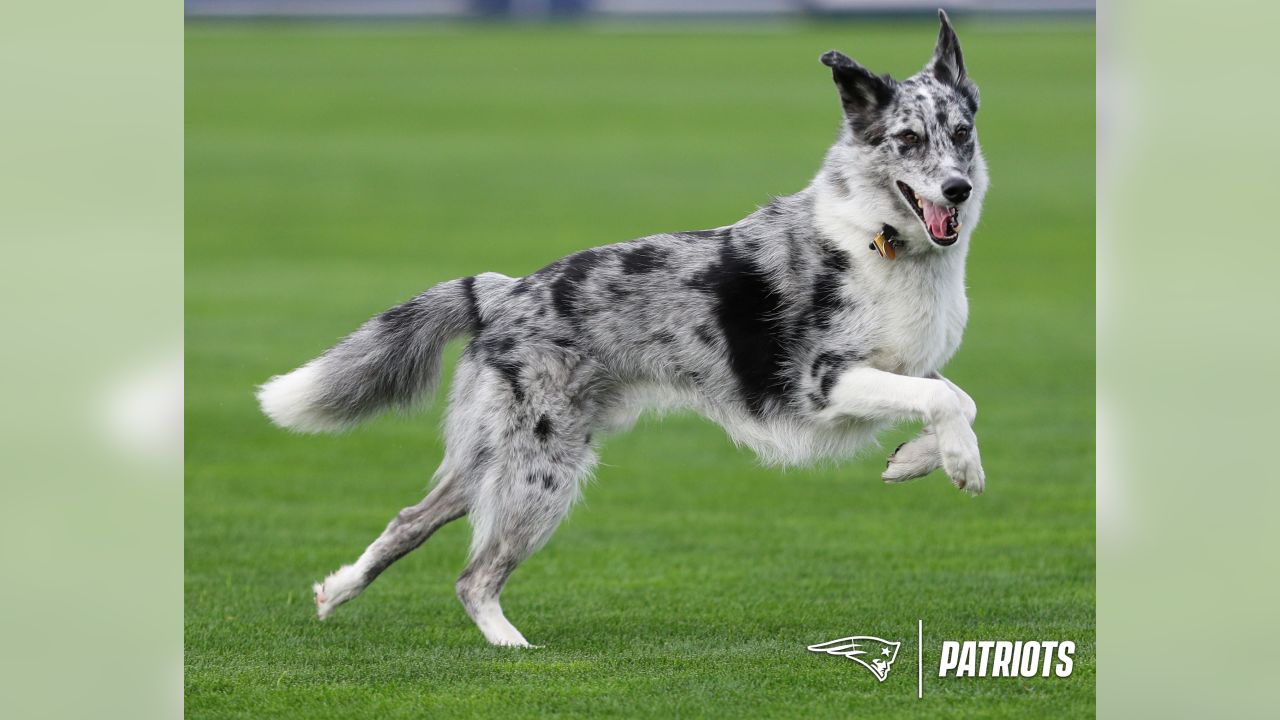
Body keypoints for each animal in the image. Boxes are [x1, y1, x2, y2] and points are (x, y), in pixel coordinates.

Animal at [257, 12, 988, 645]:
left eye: (962, 133)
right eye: (907, 140)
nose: (956, 189)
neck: (881, 240)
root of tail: (503, 291)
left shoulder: (895, 369)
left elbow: (958, 398)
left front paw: (911, 460)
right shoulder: (824, 380)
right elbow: (947, 398)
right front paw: (961, 465)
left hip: (492, 453)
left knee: (409, 521)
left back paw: (335, 591)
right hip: (541, 467)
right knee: (474, 576)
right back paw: (513, 647)